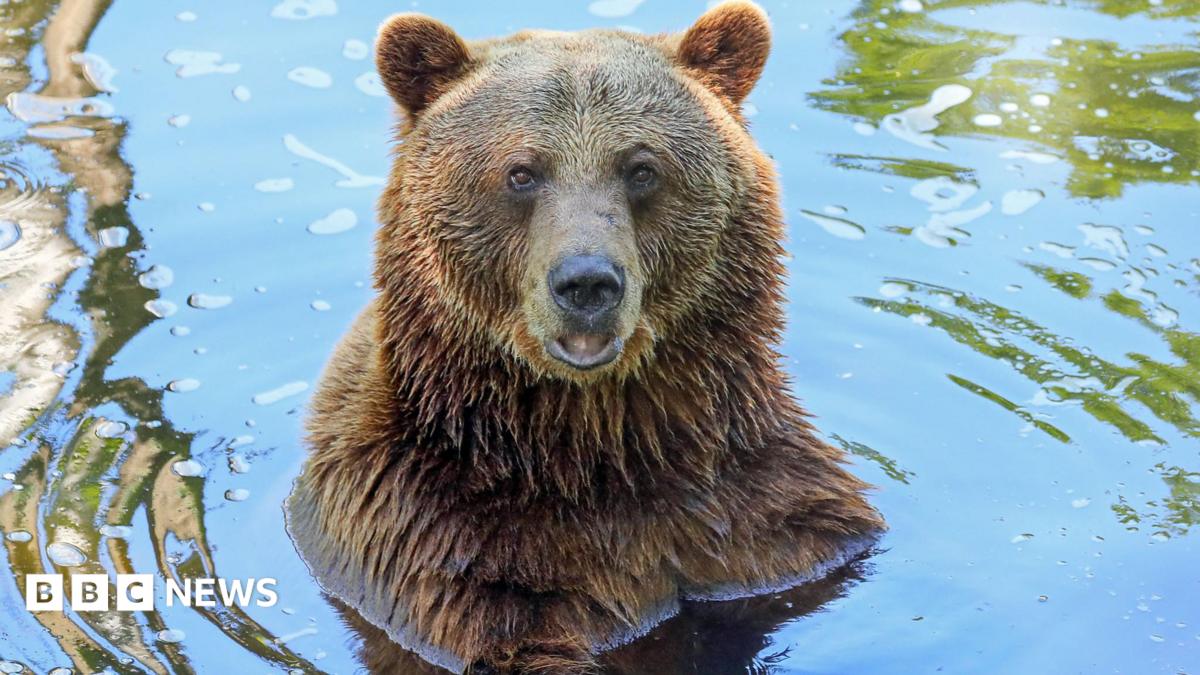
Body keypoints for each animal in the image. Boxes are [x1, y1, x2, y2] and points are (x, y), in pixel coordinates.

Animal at [286, 2, 885, 673]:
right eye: (521, 173)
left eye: (642, 169)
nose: (587, 282)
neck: (594, 447)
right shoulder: (445, 553)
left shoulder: (768, 518)